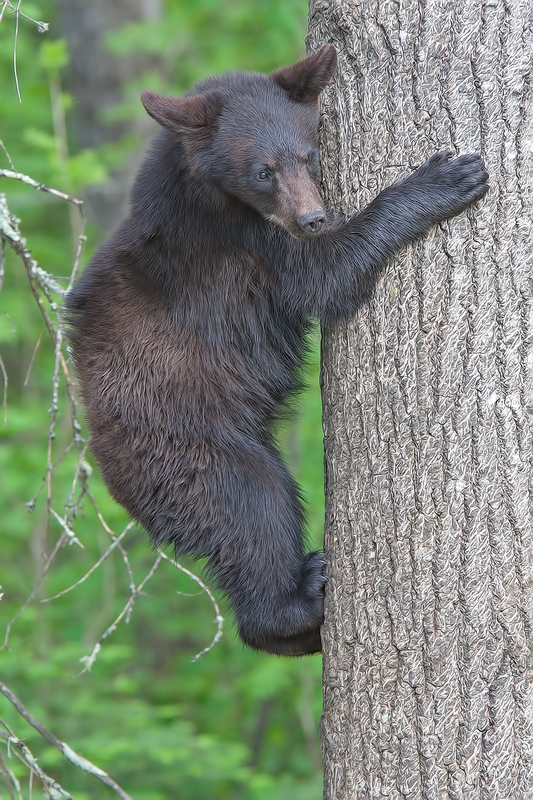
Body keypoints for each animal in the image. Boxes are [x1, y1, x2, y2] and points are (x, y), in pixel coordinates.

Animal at [64, 45, 488, 656]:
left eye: (310, 155)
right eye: (262, 171)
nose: (312, 218)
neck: (206, 192)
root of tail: (106, 466)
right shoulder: (244, 246)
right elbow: (327, 274)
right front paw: (446, 177)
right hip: (196, 445)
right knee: (253, 508)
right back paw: (294, 603)